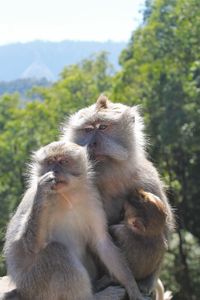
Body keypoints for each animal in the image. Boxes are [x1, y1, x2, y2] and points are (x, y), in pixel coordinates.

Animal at [3, 141, 144, 300]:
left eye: (63, 162)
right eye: (50, 162)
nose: (54, 170)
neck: (67, 194)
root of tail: (21, 290)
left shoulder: (92, 198)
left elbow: (102, 242)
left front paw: (132, 286)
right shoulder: (32, 198)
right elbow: (32, 247)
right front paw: (44, 189)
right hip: (34, 286)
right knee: (55, 251)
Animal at [61, 95, 175, 296]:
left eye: (103, 127)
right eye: (88, 130)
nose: (92, 143)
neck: (108, 174)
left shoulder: (146, 177)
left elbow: (163, 226)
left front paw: (146, 283)